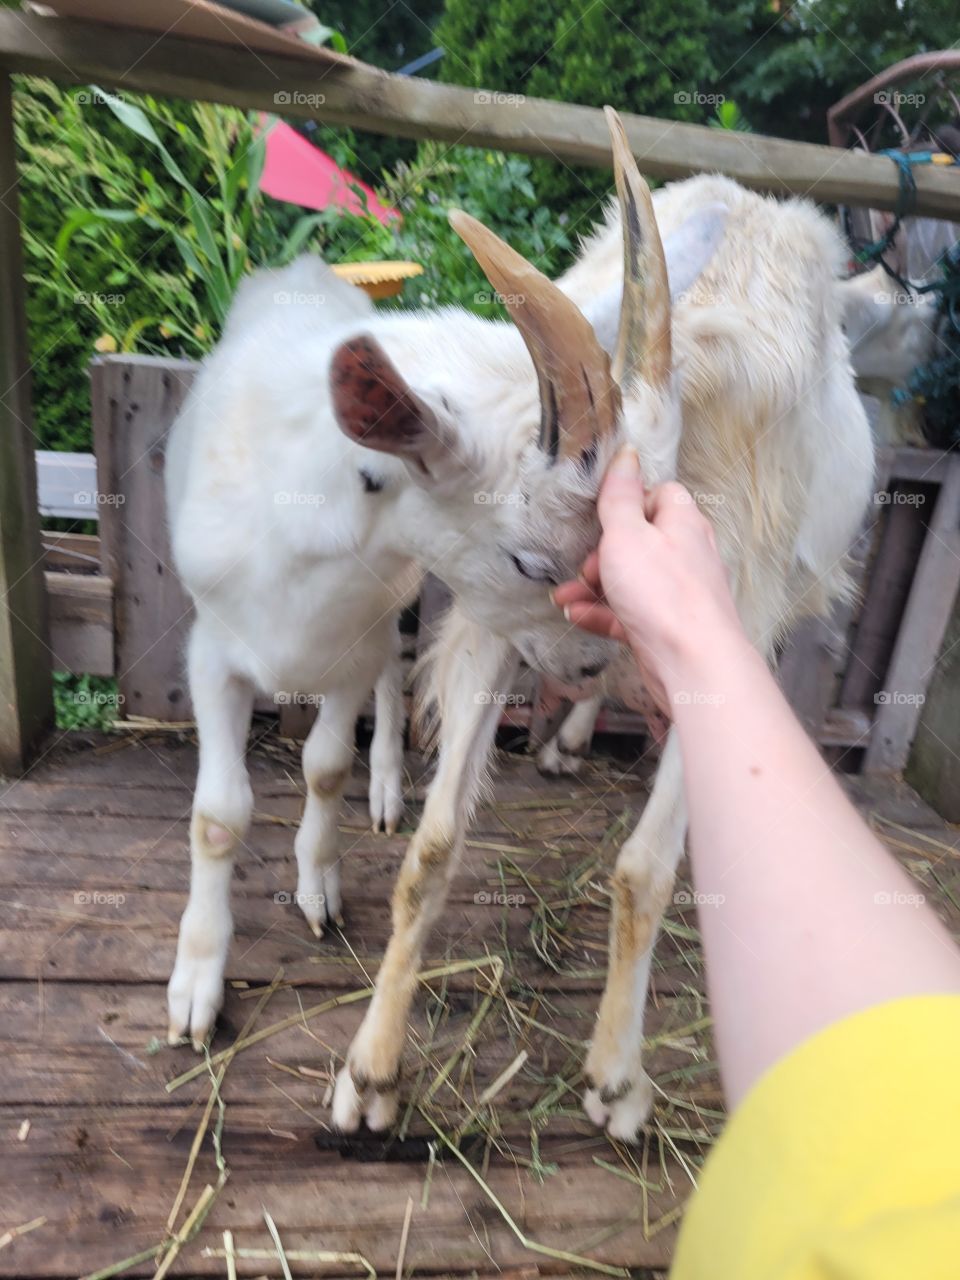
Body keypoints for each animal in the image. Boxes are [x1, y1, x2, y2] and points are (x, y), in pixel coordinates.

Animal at [330, 110, 874, 1140]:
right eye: (538, 565)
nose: (581, 664)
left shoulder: (726, 620)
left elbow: (643, 873)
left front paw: (618, 1082)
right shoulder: (498, 624)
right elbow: (433, 846)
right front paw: (369, 1072)